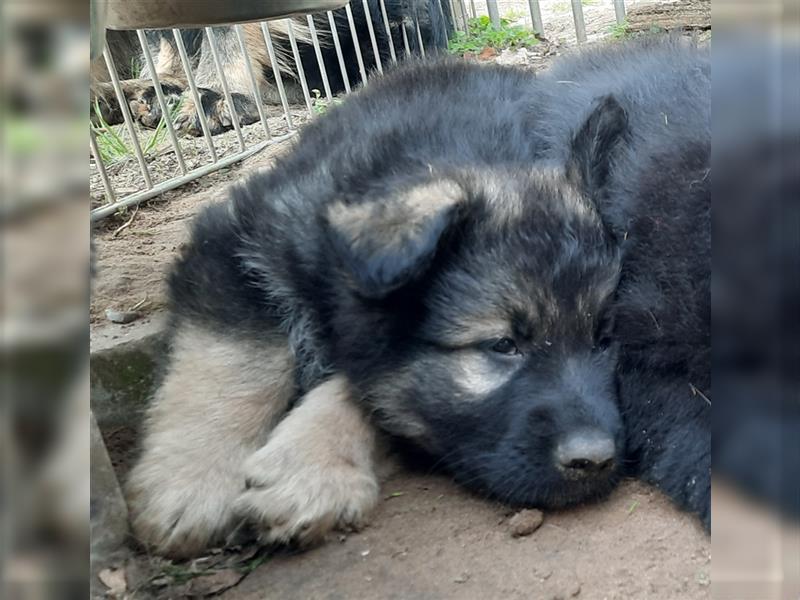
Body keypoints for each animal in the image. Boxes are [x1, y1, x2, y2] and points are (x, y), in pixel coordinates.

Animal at [128, 38, 708, 556]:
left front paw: (311, 469)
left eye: (603, 339)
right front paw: (191, 486)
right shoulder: (236, 242)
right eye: (502, 346)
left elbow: (369, 390)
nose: (597, 460)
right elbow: (230, 364)